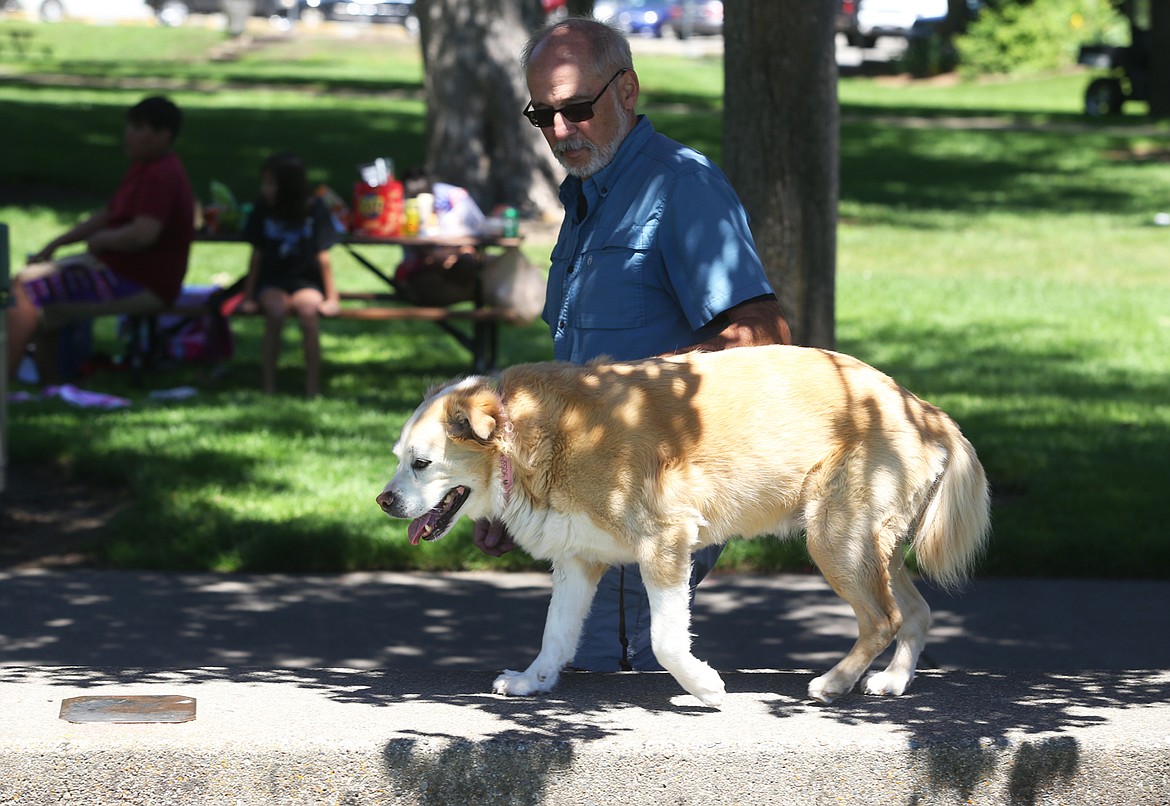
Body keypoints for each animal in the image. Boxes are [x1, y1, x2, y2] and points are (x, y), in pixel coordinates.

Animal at [374, 346, 987, 701]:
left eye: (421, 463)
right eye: (399, 457)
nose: (383, 500)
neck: (533, 438)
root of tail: (923, 408)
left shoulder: (665, 543)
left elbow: (666, 639)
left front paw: (703, 687)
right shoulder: (577, 560)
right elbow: (556, 633)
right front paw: (534, 681)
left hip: (836, 538)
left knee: (883, 619)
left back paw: (835, 682)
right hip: (870, 547)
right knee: (916, 612)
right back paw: (893, 680)